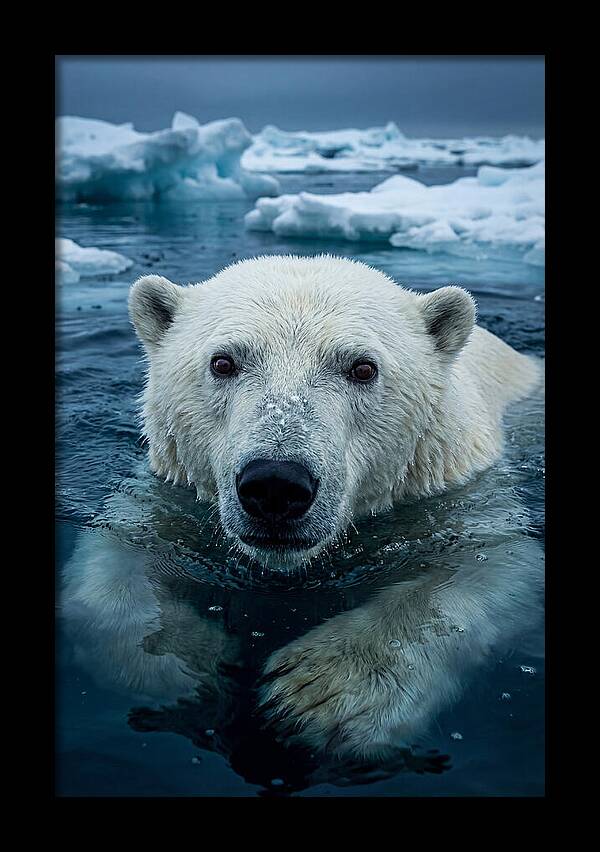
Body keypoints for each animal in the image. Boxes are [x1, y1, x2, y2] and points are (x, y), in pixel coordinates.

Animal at [59, 255, 544, 784]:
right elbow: (115, 563)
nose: (276, 484)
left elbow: (490, 566)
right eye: (223, 362)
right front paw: (185, 666)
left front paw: (320, 693)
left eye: (362, 367)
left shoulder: (458, 493)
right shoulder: (169, 494)